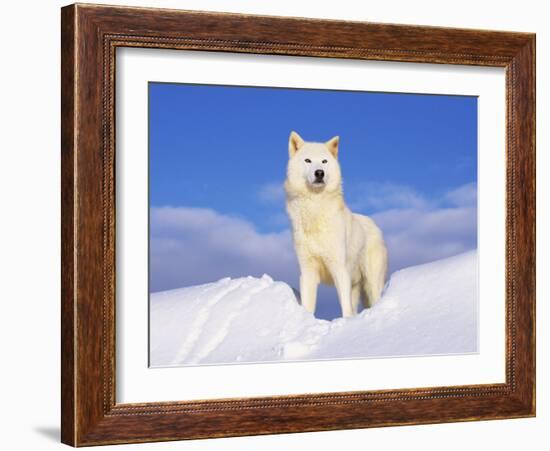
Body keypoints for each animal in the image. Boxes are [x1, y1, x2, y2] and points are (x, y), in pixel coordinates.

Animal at [286, 132, 390, 320]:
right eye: (308, 161)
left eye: (324, 161)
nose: (319, 173)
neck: (315, 210)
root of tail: (374, 224)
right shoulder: (307, 271)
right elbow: (308, 306)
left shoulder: (339, 268)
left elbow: (345, 308)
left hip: (372, 284)